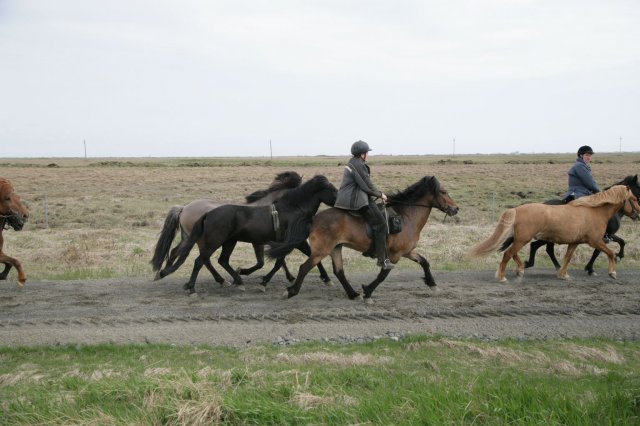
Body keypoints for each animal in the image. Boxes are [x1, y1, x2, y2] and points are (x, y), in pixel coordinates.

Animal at [154, 174, 338, 292]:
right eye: (332, 189)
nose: (339, 203)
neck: (292, 209)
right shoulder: (284, 242)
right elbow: (274, 262)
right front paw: (263, 282)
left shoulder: (289, 242)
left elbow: (290, 260)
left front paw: (324, 279)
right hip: (213, 241)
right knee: (201, 260)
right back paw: (195, 286)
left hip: (224, 241)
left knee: (211, 259)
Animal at [268, 175, 460, 302]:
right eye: (443, 192)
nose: (456, 208)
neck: (406, 217)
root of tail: (314, 218)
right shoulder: (394, 256)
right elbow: (383, 275)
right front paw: (368, 291)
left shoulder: (407, 252)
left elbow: (424, 262)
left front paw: (432, 283)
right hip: (321, 251)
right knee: (305, 268)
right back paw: (291, 291)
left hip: (336, 248)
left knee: (339, 271)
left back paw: (352, 294)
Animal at [470, 185, 640, 282]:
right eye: (634, 198)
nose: (638, 214)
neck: (594, 211)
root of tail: (517, 209)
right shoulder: (596, 240)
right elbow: (610, 253)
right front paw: (612, 272)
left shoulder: (575, 242)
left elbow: (568, 257)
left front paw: (563, 274)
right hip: (523, 239)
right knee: (508, 254)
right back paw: (503, 277)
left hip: (522, 239)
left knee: (513, 253)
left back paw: (520, 268)